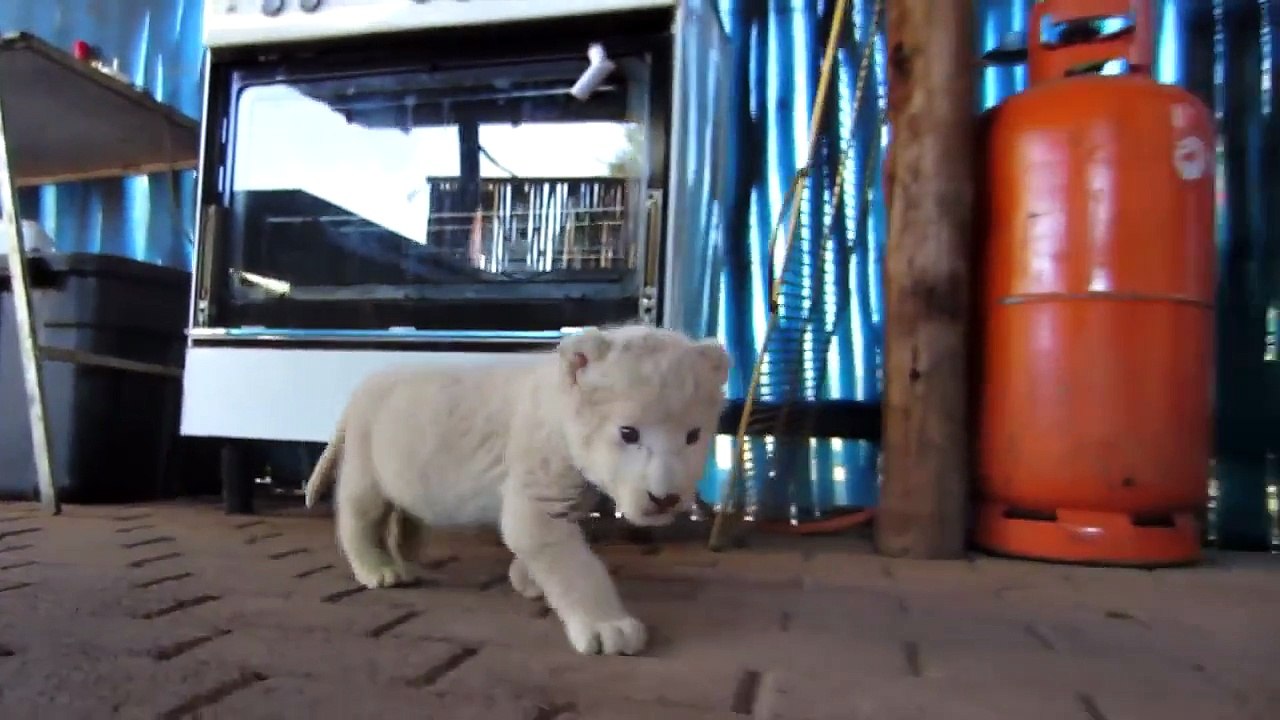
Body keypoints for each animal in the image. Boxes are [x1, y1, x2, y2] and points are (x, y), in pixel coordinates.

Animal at [303, 324, 730, 656]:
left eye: (693, 436)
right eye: (628, 433)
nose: (665, 498)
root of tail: (361, 388)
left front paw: (528, 581)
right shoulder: (539, 494)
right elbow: (575, 565)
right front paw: (610, 629)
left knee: (406, 515)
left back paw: (409, 562)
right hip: (365, 463)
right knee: (358, 518)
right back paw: (379, 570)